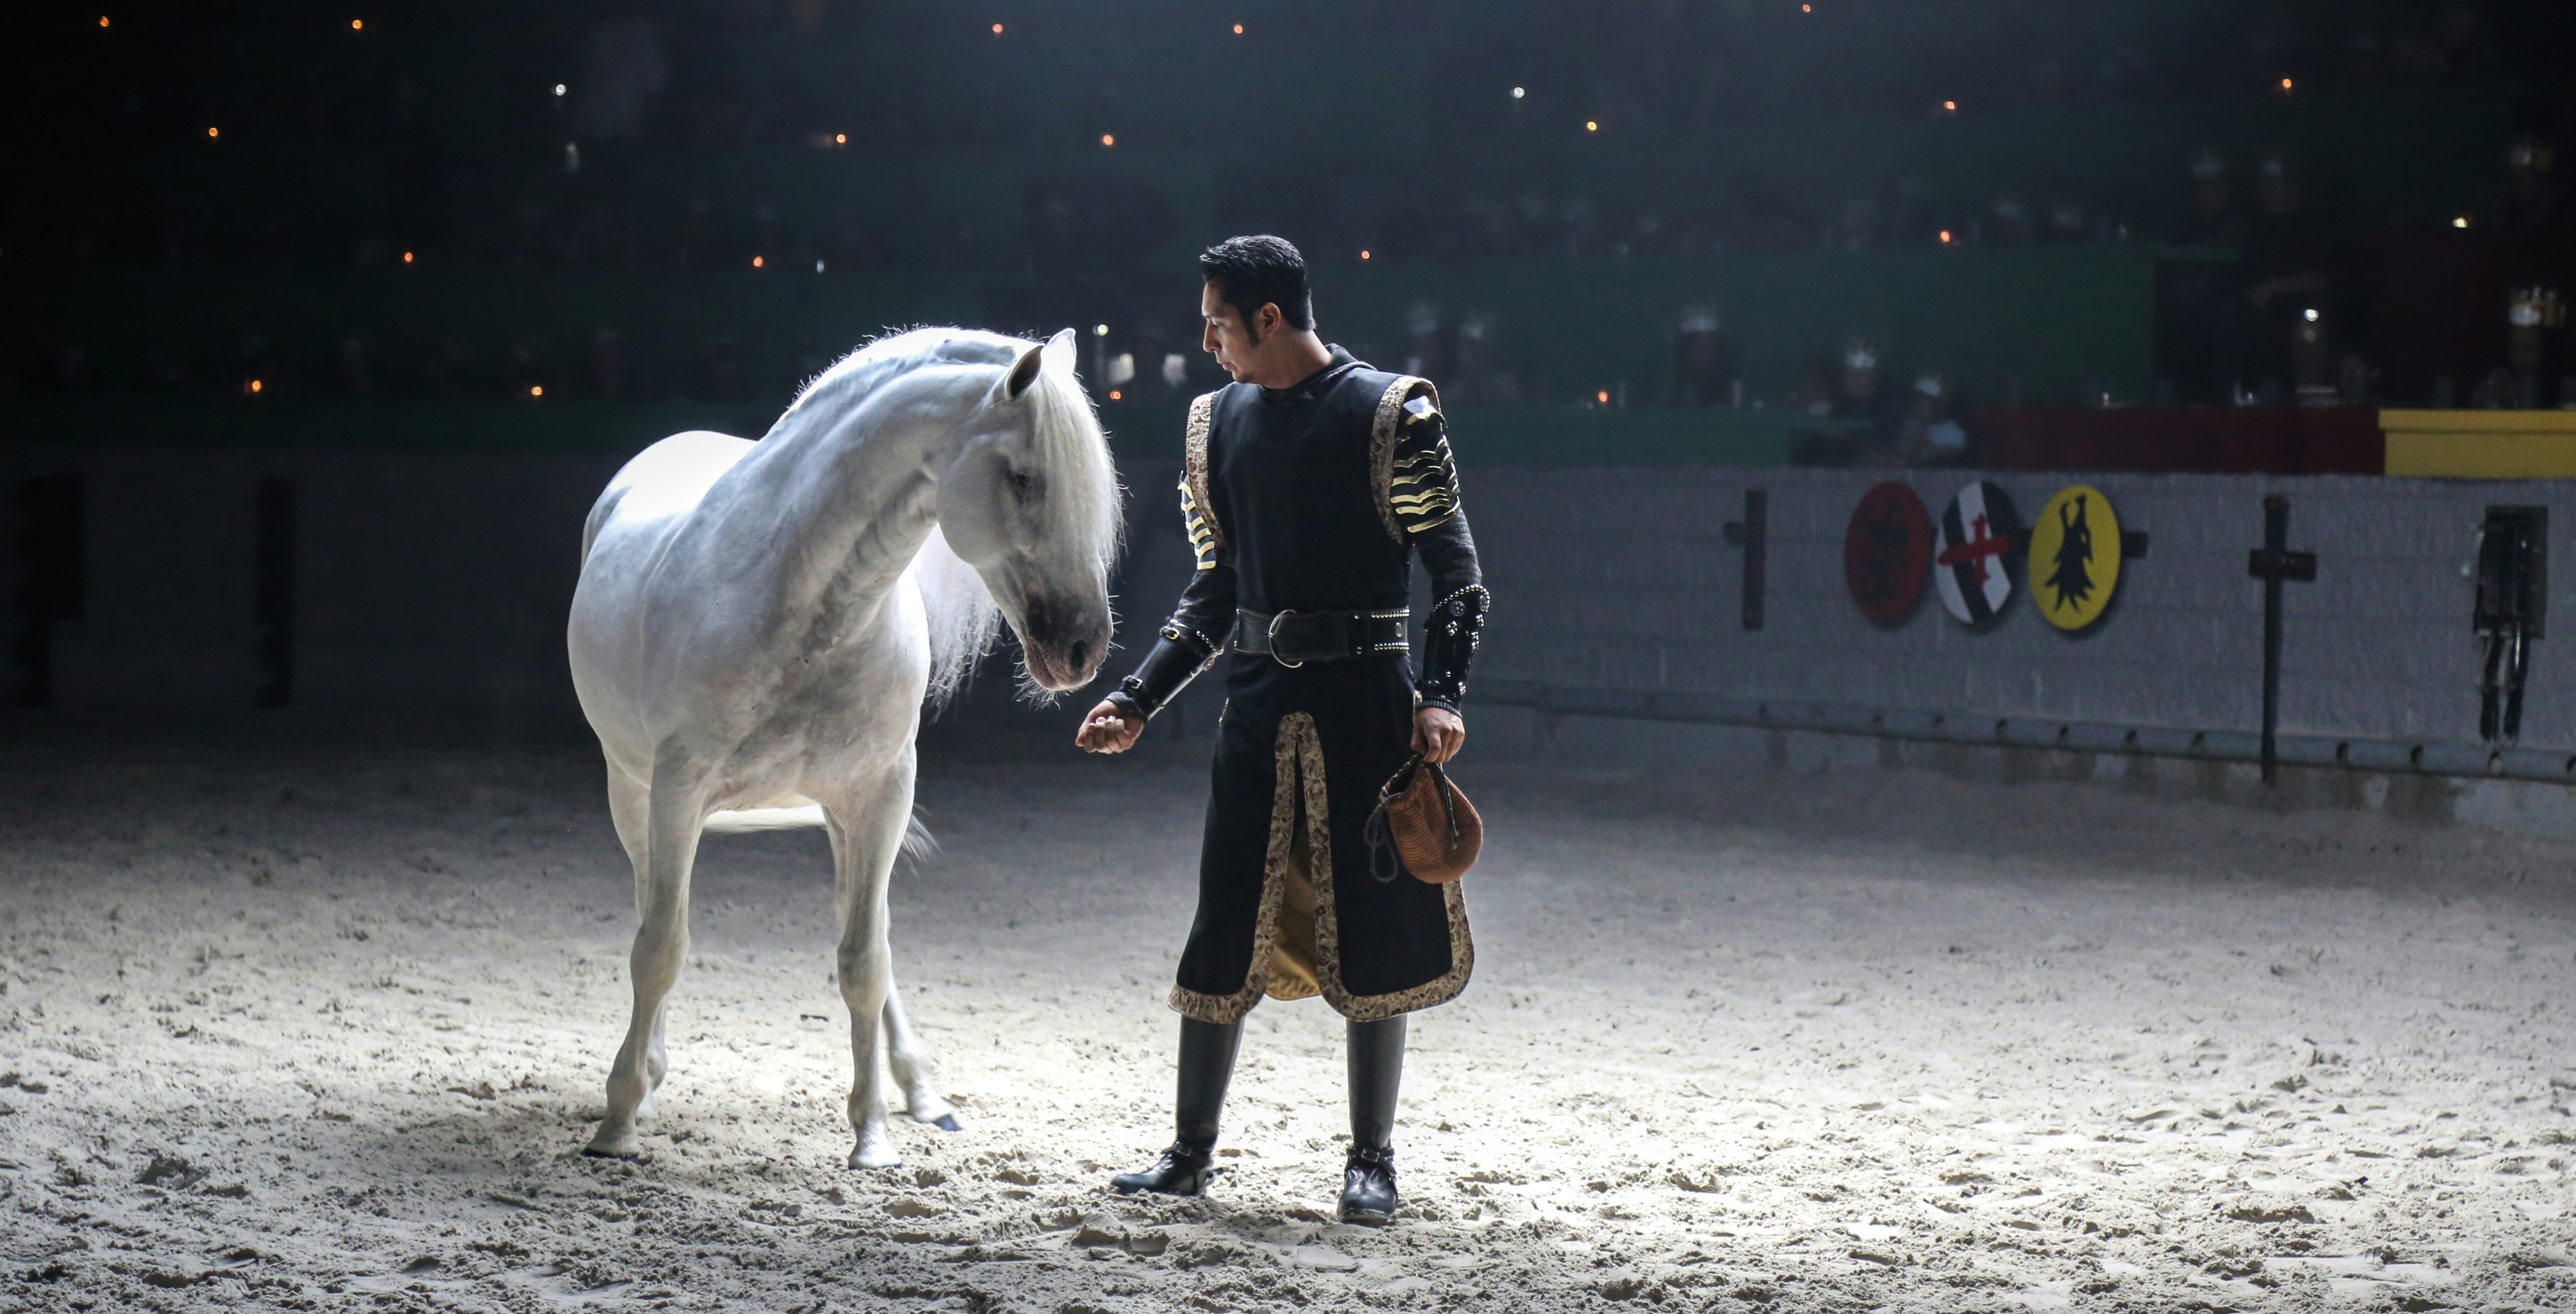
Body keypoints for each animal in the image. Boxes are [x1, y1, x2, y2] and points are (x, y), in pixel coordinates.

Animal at [566, 327, 1118, 1169]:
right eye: (1026, 478)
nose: (1084, 647)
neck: (804, 608)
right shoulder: (677, 791)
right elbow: (659, 946)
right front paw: (619, 1120)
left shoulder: (879, 794)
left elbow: (864, 959)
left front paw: (872, 1137)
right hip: (630, 792)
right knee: (649, 909)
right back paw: (647, 1076)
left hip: (838, 816)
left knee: (862, 927)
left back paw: (922, 1092)